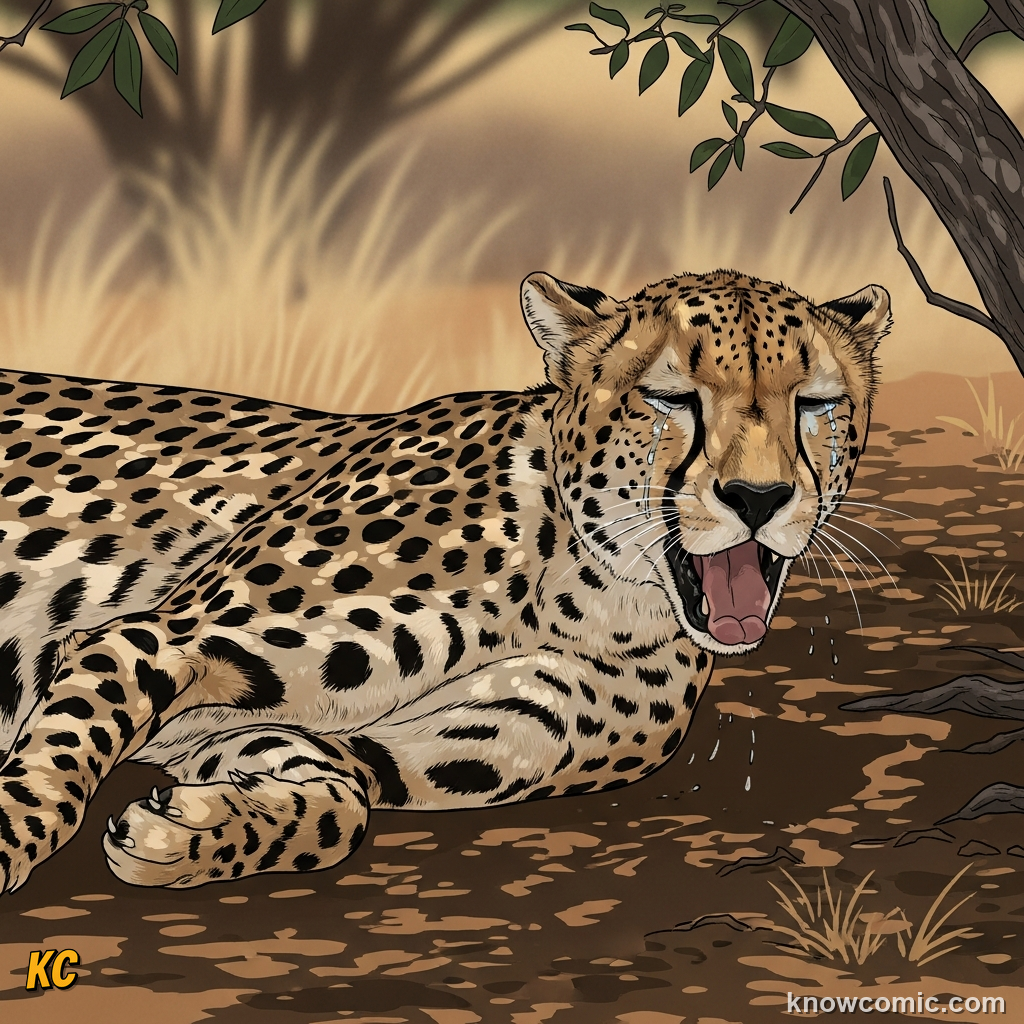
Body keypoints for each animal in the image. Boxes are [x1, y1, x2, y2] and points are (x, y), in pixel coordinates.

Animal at [0, 269, 889, 893]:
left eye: (815, 404)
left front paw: (187, 831)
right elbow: (48, 775)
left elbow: (341, 801)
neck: (590, 594)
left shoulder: (325, 739)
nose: (758, 498)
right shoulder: (144, 641)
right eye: (671, 398)